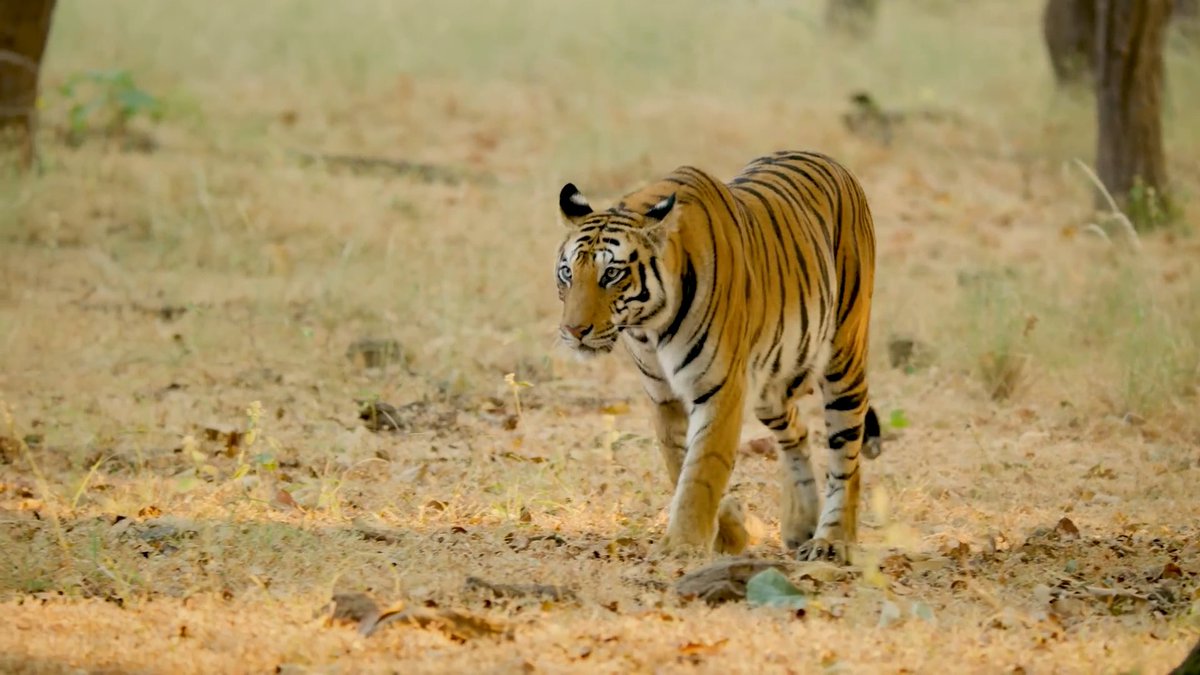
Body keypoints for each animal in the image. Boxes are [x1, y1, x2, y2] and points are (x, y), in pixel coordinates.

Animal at [553, 150, 881, 562]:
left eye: (611, 274)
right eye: (567, 273)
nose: (573, 330)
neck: (649, 328)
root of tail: (829, 160)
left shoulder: (719, 389)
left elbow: (703, 468)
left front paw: (682, 545)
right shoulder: (665, 398)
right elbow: (681, 464)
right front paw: (729, 534)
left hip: (843, 359)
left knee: (846, 452)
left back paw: (833, 539)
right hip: (771, 385)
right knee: (798, 431)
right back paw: (802, 524)